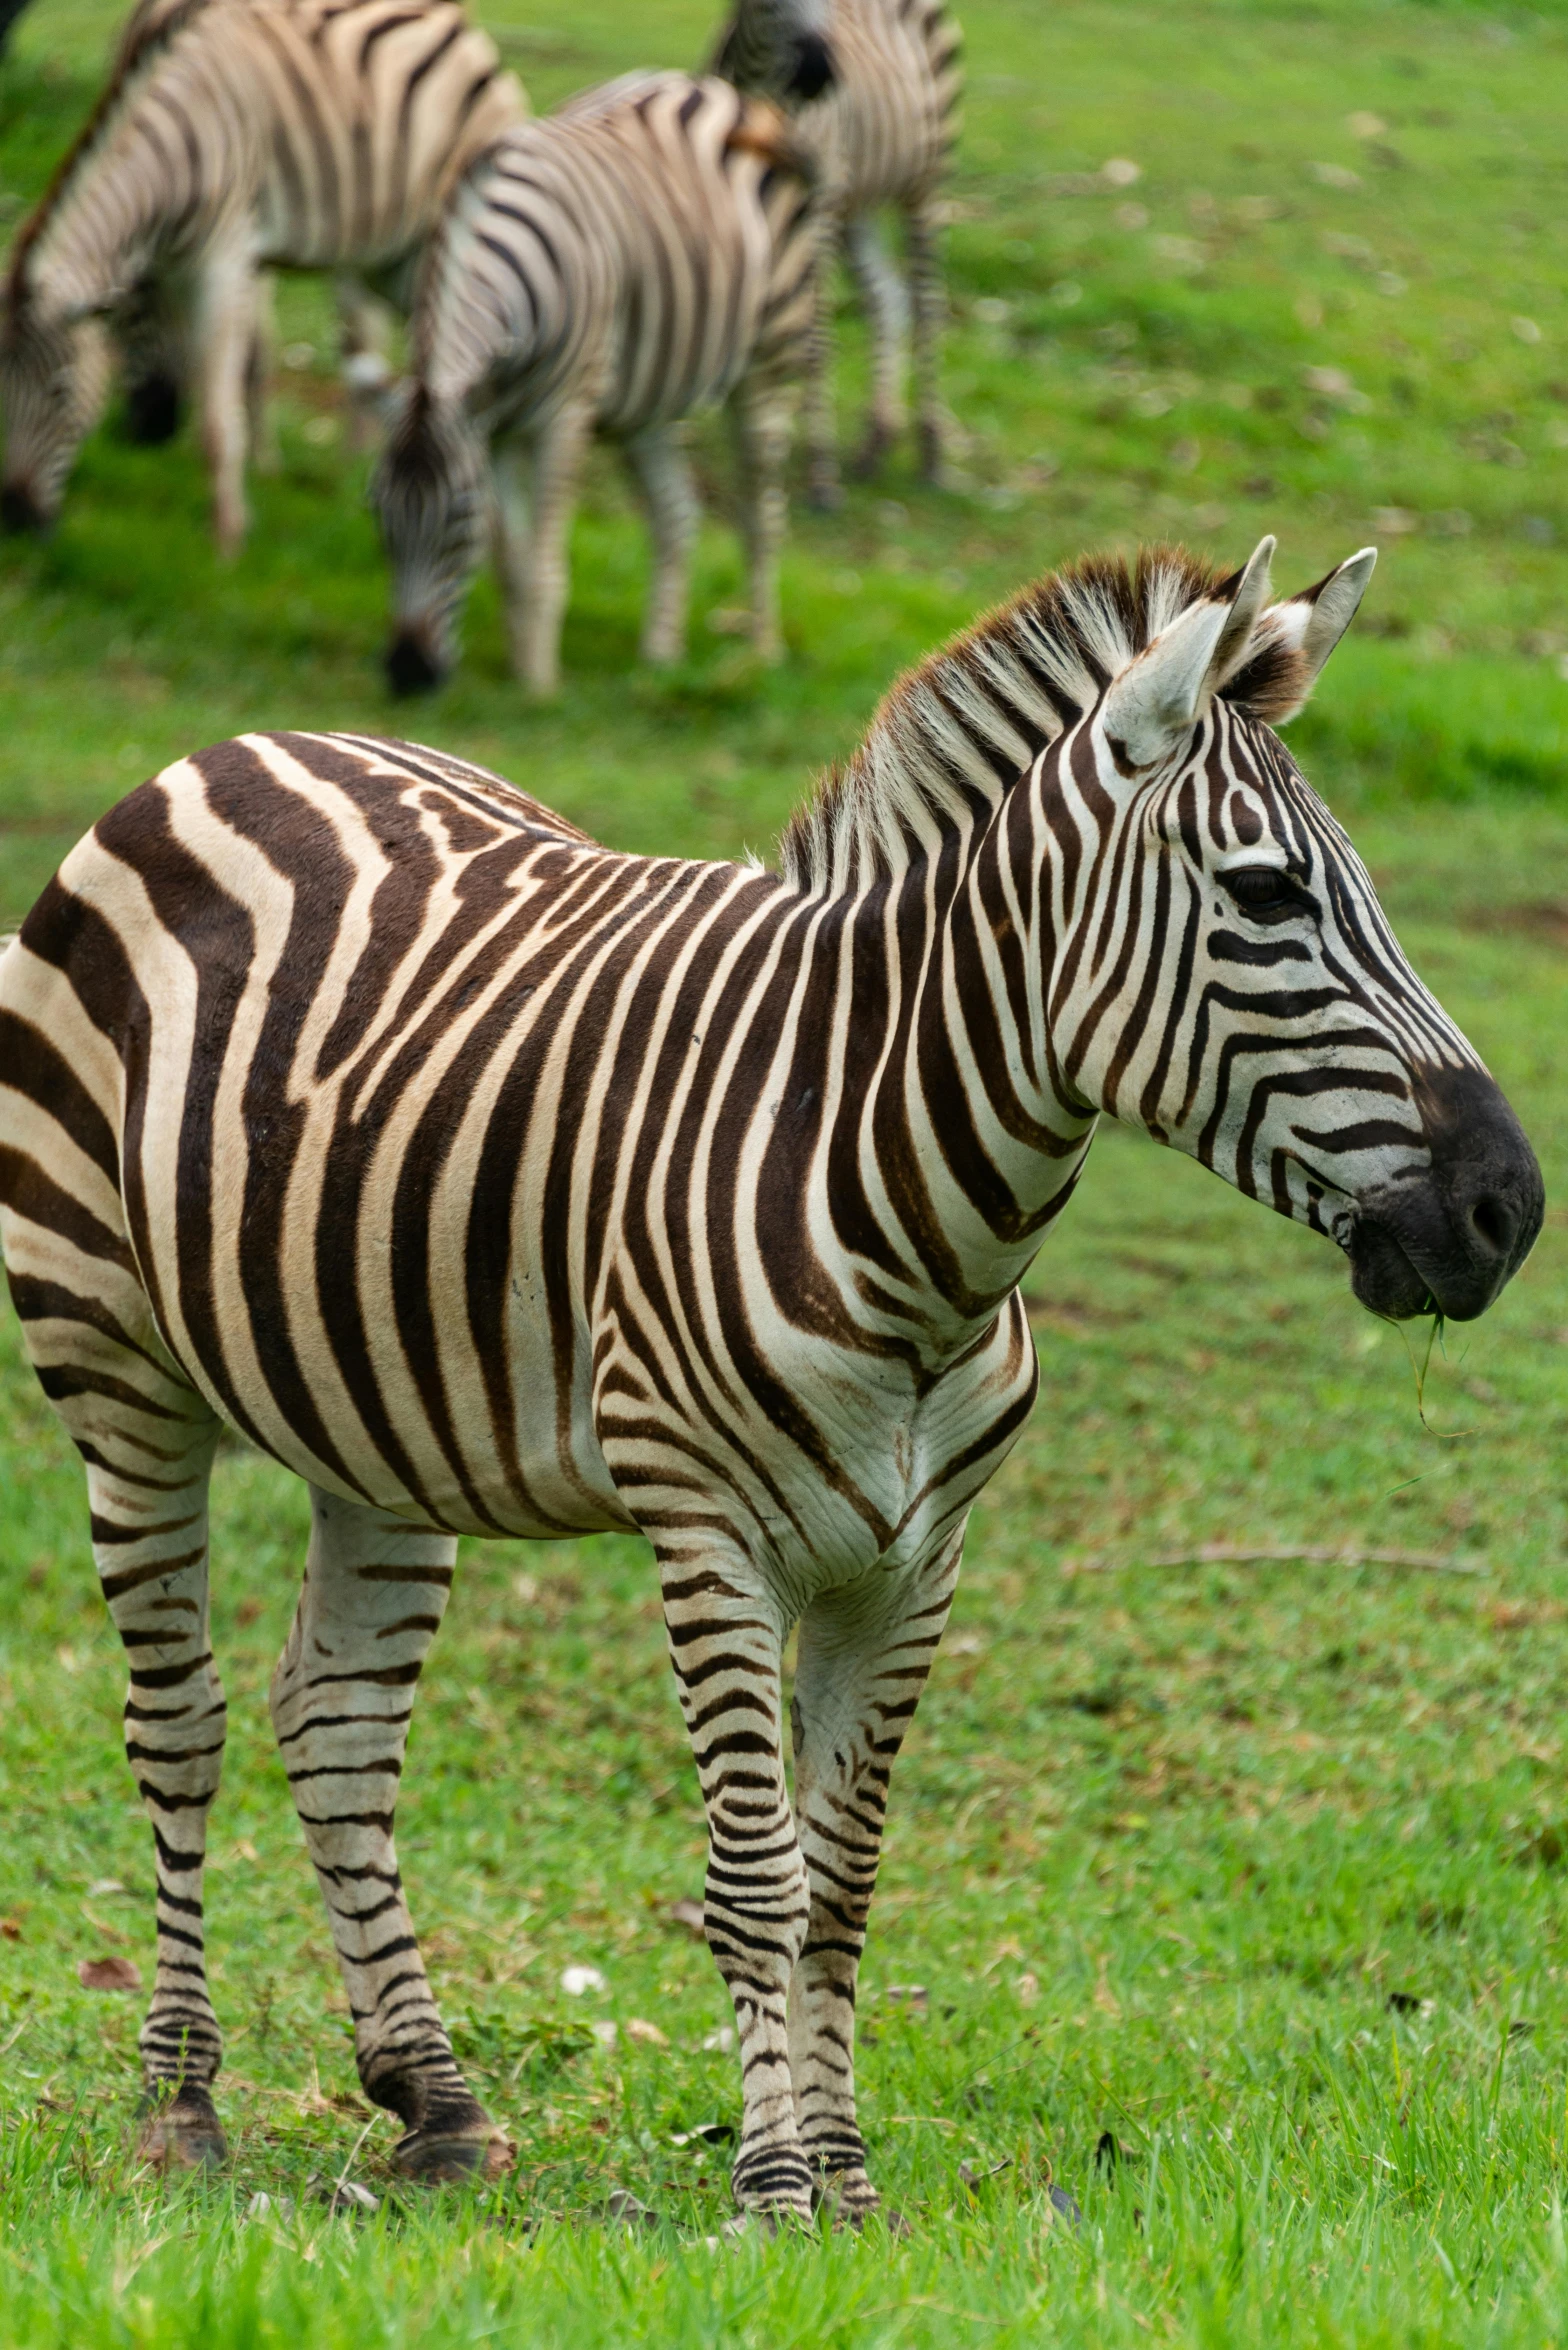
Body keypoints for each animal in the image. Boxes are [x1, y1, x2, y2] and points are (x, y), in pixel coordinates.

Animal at [0, 0, 526, 549]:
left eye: (61, 390)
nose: (15, 521)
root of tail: (455, 21)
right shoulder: (204, 259)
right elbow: (241, 364)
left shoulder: (224, 252)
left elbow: (217, 415)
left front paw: (226, 540)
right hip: (390, 257)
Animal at [0, 533, 1542, 2199]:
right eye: (1265, 895)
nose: (1510, 1210)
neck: (898, 1194)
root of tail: (235, 745)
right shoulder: (709, 1531)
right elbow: (751, 1876)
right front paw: (774, 2186)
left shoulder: (916, 1562)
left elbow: (840, 1885)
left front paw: (850, 2178)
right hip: (118, 1374)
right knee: (182, 1723)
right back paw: (180, 2099)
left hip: (381, 1415)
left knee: (337, 1719)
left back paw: (437, 2098)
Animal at [376, 71, 822, 695]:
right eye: (379, 514)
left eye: (460, 514)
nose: (407, 674)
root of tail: (711, 86)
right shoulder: (495, 429)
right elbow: (511, 560)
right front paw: (518, 661)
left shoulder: (563, 415)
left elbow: (542, 562)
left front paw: (537, 689)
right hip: (646, 396)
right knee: (676, 511)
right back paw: (660, 655)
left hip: (769, 356)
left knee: (762, 514)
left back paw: (762, 650)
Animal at [709, 0, 959, 505]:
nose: (820, 74)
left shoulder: (816, 210)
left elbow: (815, 342)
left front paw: (819, 475)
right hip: (855, 203)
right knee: (888, 299)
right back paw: (877, 441)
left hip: (922, 183)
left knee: (927, 305)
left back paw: (931, 455)